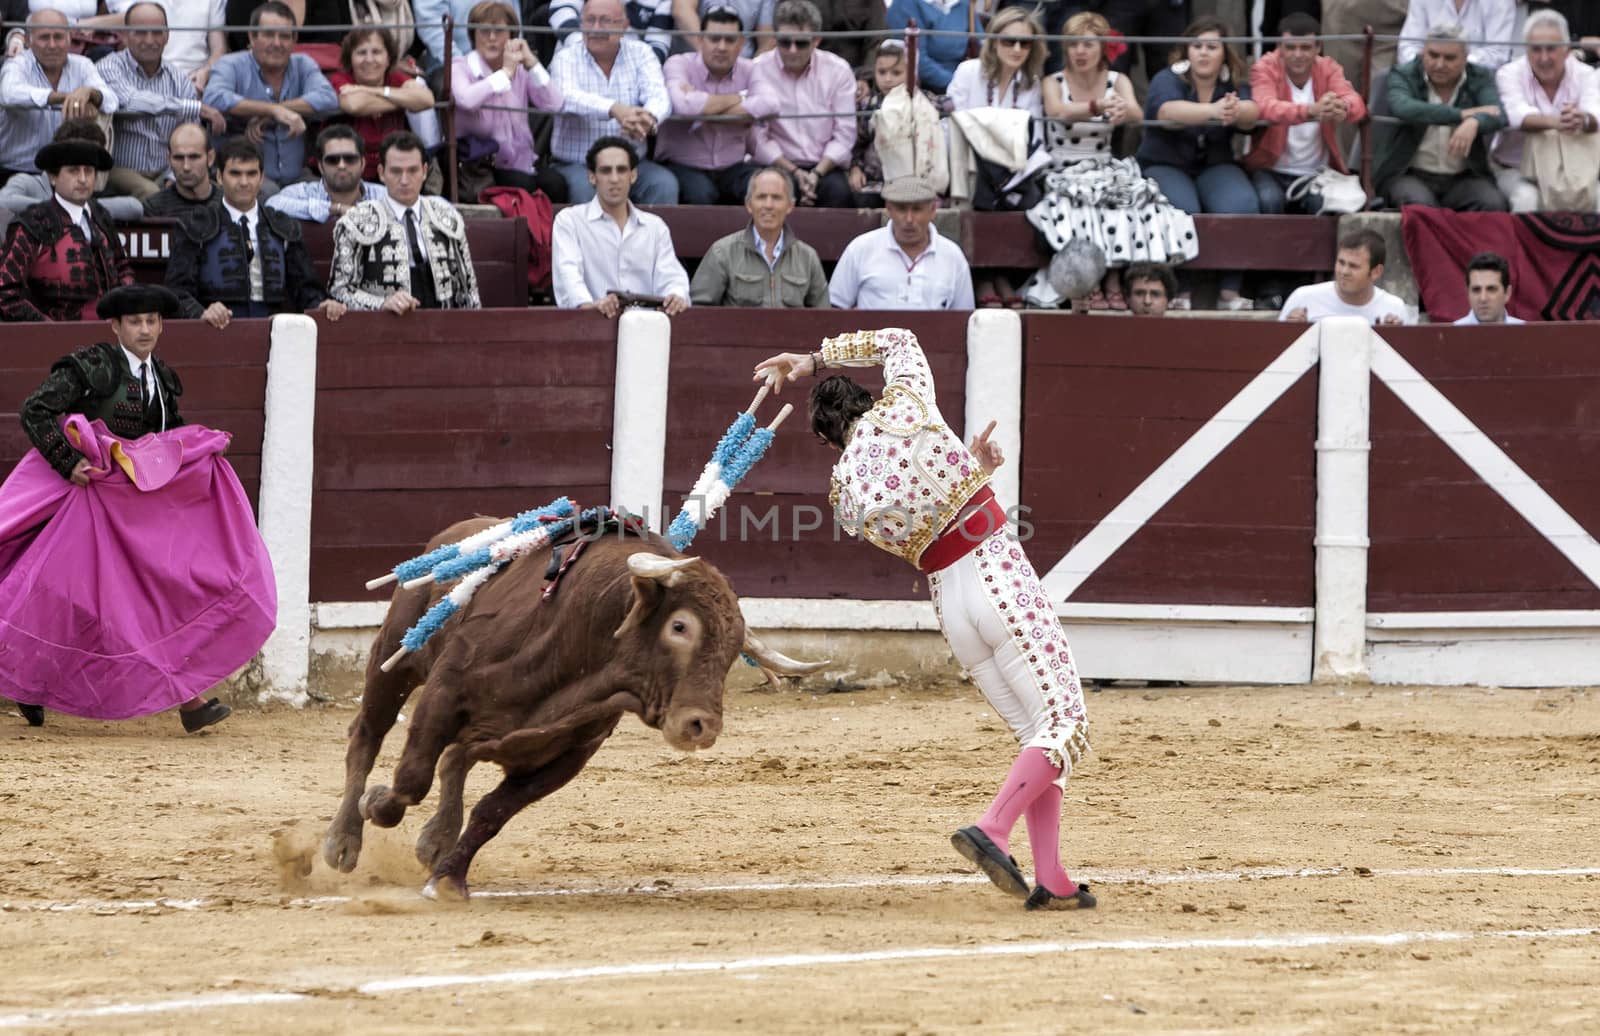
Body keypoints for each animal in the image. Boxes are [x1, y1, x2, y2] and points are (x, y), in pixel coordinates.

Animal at [324, 518, 825, 895]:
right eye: (680, 626)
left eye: (734, 646)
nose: (701, 725)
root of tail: (456, 533)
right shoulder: (443, 696)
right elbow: (411, 781)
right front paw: (381, 808)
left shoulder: (568, 754)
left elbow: (492, 812)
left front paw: (446, 878)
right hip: (394, 659)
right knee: (367, 736)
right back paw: (342, 842)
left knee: (456, 759)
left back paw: (434, 838)